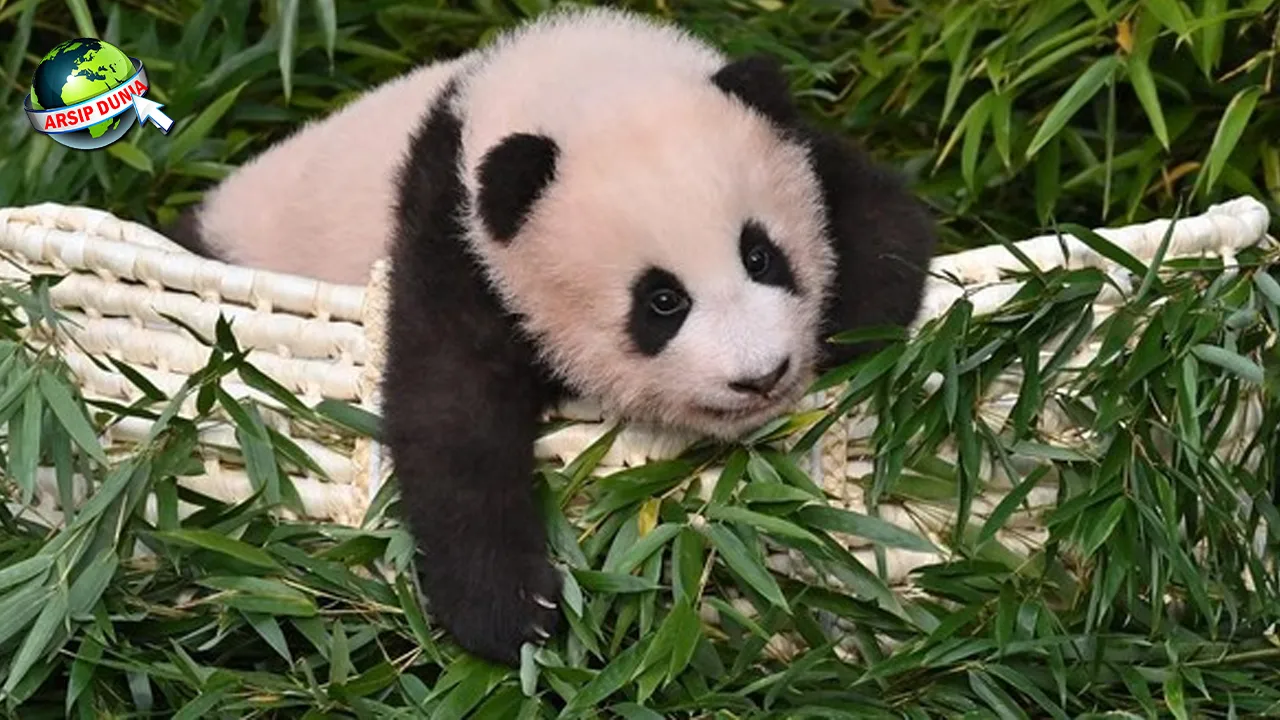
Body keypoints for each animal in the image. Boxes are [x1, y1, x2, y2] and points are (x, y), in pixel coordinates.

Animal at [170, 7, 938, 666]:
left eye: (761, 255)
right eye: (661, 301)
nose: (760, 376)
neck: (566, 80)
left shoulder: (805, 146)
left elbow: (887, 221)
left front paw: (850, 330)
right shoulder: (455, 235)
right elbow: (449, 409)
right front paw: (509, 612)